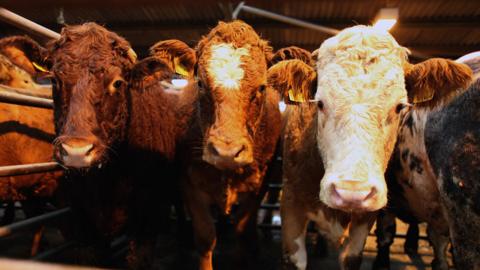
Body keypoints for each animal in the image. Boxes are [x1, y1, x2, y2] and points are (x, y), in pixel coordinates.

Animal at [177, 20, 282, 268]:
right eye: (200, 83)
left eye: (261, 87)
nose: (226, 152)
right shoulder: (190, 183)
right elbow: (205, 237)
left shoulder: (258, 188)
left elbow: (243, 232)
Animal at [268, 24, 474, 268]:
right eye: (320, 103)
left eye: (399, 106)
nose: (352, 193)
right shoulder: (291, 206)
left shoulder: (366, 219)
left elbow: (352, 257)